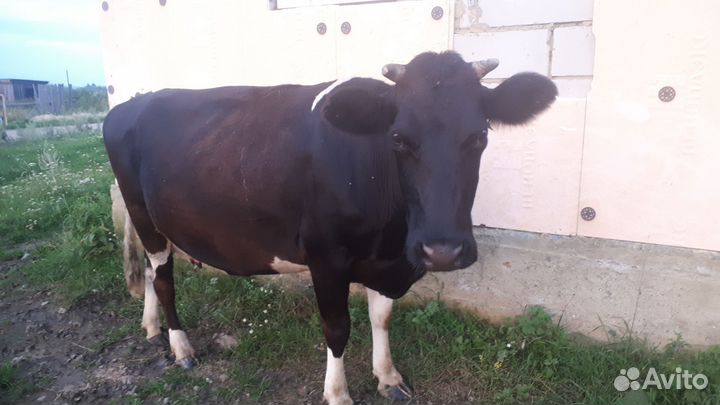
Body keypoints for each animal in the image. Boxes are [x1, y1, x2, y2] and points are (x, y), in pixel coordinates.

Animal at [103, 51, 557, 405]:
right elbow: (337, 329)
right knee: (164, 279)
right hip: (143, 214)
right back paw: (180, 347)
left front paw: (388, 377)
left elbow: (382, 318)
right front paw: (337, 392)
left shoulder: (387, 260)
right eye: (397, 138)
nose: (442, 252)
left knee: (150, 271)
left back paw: (151, 327)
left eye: (480, 135)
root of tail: (132, 102)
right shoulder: (327, 257)